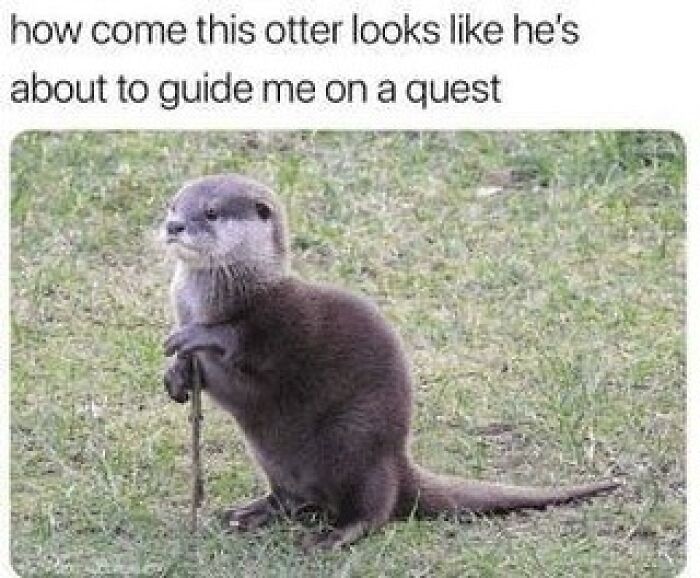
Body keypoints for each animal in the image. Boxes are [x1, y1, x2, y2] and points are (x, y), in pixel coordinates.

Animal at [162, 174, 619, 549]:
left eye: (210, 212)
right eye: (173, 204)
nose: (173, 225)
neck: (214, 297)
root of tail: (398, 463)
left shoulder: (280, 319)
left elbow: (244, 339)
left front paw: (197, 337)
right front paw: (176, 376)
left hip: (355, 439)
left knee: (373, 508)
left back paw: (337, 535)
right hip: (274, 458)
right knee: (293, 500)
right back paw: (250, 512)